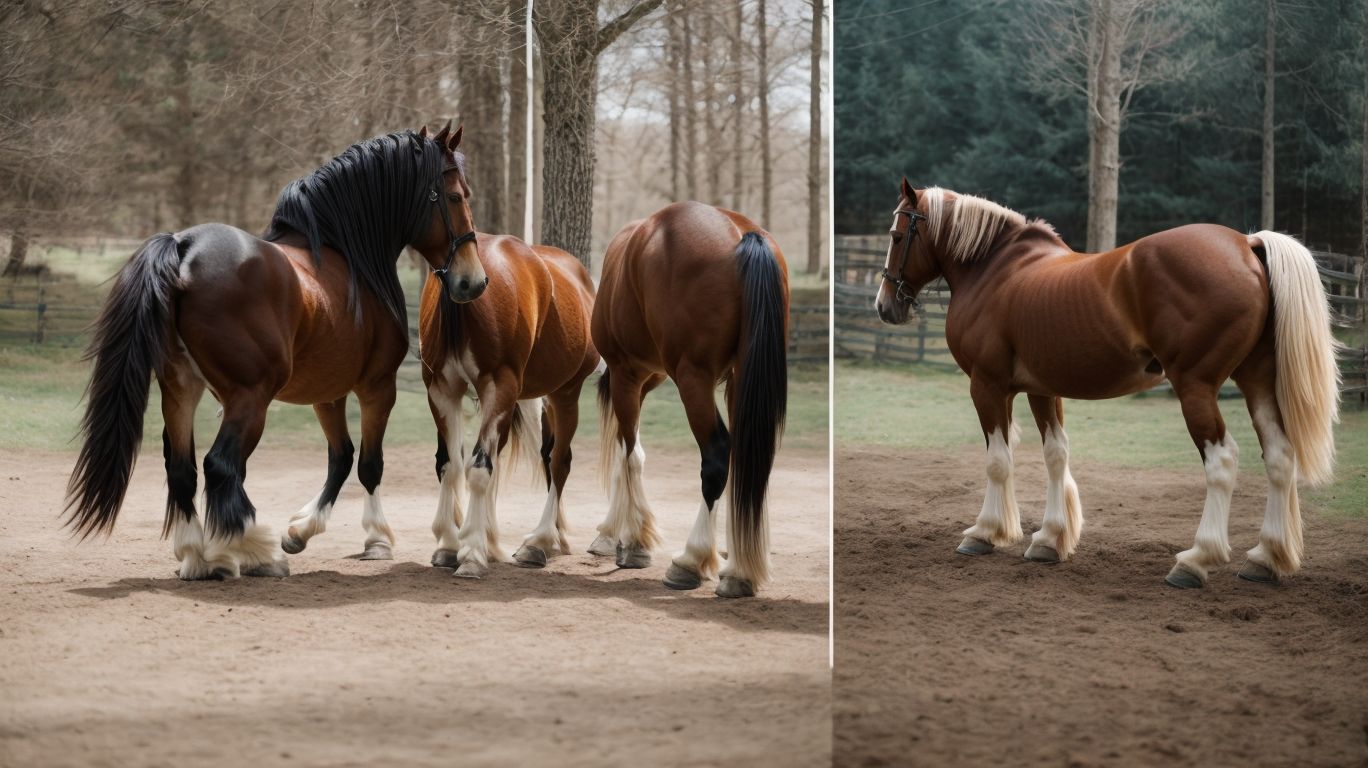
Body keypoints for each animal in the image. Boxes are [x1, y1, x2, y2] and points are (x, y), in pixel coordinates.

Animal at [65, 123, 487, 579]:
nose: (473, 281)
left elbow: (341, 457)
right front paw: (375, 539)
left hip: (181, 389)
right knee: (220, 465)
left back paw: (198, 556)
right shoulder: (377, 386)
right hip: (250, 397)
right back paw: (256, 551)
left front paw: (300, 531)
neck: (348, 255)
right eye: (456, 196)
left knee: (183, 469)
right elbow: (368, 464)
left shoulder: (328, 393)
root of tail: (183, 246)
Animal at [419, 235, 599, 579]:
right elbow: (450, 464)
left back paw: (540, 542)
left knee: (558, 462)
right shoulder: (442, 390)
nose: (469, 284)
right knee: (529, 458)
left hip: (564, 393)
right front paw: (454, 544)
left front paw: (472, 553)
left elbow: (478, 467)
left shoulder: (499, 387)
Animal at [591, 201, 789, 598]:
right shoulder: (646, 378)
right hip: (742, 378)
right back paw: (739, 571)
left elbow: (630, 455)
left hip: (693, 379)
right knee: (747, 461)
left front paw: (633, 542)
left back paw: (691, 560)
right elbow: (628, 450)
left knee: (716, 457)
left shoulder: (625, 374)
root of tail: (744, 235)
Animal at [874, 179, 1341, 588]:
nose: (884, 306)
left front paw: (985, 532)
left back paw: (1196, 560)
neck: (994, 270)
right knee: (1279, 456)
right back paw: (1266, 558)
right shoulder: (1041, 388)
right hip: (1256, 379)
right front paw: (1049, 539)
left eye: (897, 235)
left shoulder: (987, 386)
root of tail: (1247, 244)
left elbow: (998, 460)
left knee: (1222, 461)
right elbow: (1055, 455)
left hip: (1196, 386)